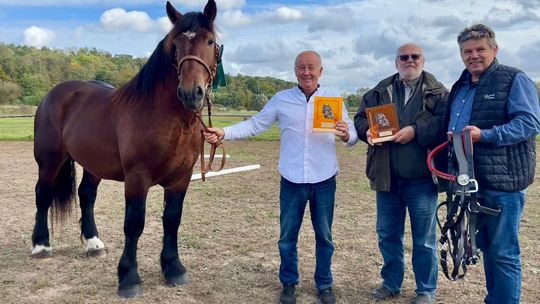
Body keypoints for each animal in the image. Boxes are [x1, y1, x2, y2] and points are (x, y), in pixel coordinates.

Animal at [31, 0, 219, 296]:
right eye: (175, 46)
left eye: (210, 41)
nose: (191, 93)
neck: (168, 119)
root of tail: (54, 94)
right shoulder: (137, 178)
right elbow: (134, 224)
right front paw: (129, 278)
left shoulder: (181, 178)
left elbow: (172, 220)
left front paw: (174, 269)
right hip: (49, 161)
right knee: (43, 195)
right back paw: (41, 245)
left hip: (92, 164)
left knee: (86, 195)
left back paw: (93, 243)